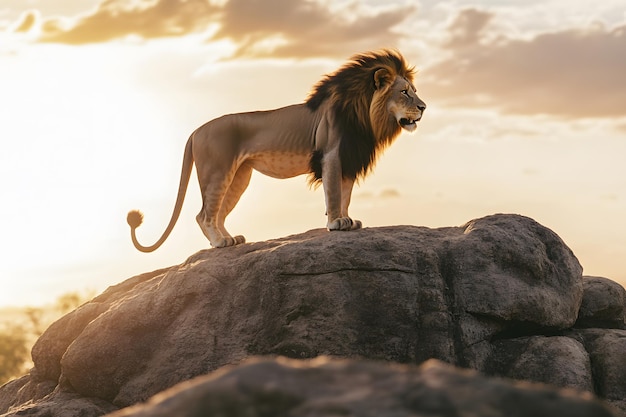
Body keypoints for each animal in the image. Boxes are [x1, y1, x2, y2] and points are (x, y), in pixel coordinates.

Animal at [127, 48, 424, 250]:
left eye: (414, 90)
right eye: (404, 92)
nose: (423, 107)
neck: (365, 116)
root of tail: (193, 132)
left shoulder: (349, 159)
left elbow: (346, 195)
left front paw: (348, 221)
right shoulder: (330, 155)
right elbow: (333, 194)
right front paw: (335, 224)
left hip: (239, 177)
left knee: (219, 212)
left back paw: (230, 239)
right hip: (217, 172)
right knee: (203, 214)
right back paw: (219, 242)